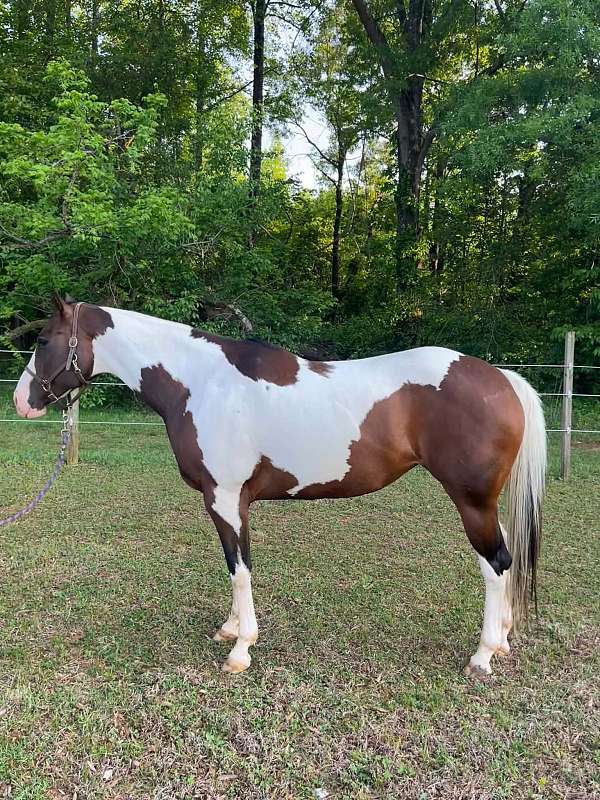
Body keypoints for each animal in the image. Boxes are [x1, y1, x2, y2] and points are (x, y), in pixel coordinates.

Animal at [14, 298, 546, 675]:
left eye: (43, 339)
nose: (22, 401)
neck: (200, 382)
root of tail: (501, 378)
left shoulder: (226, 498)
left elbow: (240, 568)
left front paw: (241, 649)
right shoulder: (227, 501)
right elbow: (233, 566)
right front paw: (230, 629)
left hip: (472, 501)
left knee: (497, 564)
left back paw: (483, 655)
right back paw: (502, 637)